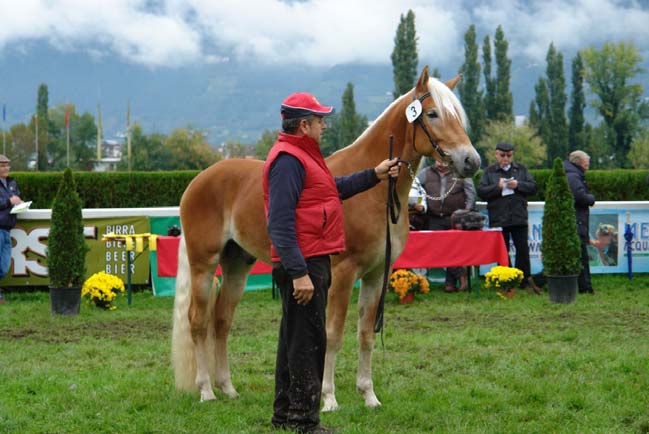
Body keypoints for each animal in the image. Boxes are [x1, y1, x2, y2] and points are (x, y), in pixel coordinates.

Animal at [170, 65, 478, 406]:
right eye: (434, 114)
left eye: (458, 116)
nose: (471, 161)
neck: (377, 195)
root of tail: (197, 181)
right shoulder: (343, 274)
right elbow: (333, 334)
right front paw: (329, 398)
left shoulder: (375, 275)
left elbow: (366, 333)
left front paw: (368, 395)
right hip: (203, 264)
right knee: (198, 321)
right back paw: (207, 391)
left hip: (238, 263)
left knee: (221, 320)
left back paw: (228, 388)